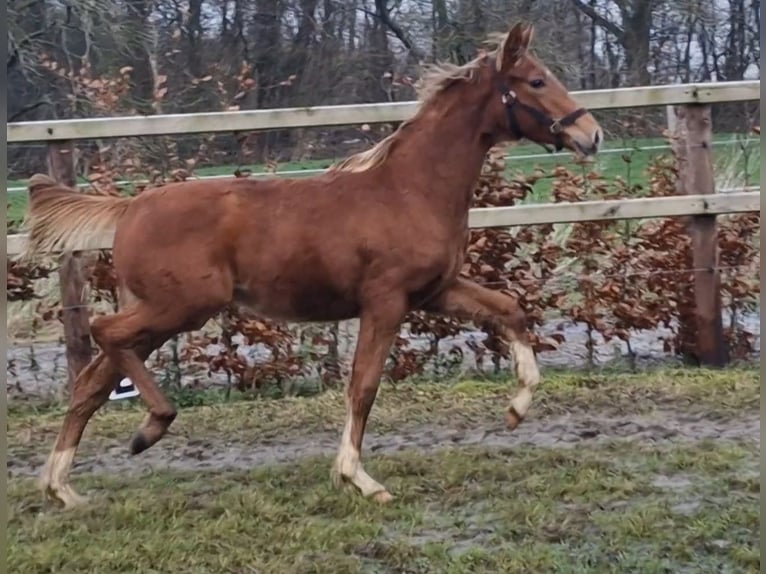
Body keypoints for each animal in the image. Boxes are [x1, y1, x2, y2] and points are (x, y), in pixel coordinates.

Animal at [21, 21, 603, 509]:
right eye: (535, 81)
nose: (591, 134)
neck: (410, 189)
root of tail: (129, 208)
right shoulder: (385, 300)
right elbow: (363, 386)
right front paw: (358, 478)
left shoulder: (436, 291)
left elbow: (510, 310)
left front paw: (517, 408)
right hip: (181, 306)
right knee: (104, 334)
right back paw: (148, 430)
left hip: (163, 313)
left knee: (94, 380)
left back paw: (62, 487)